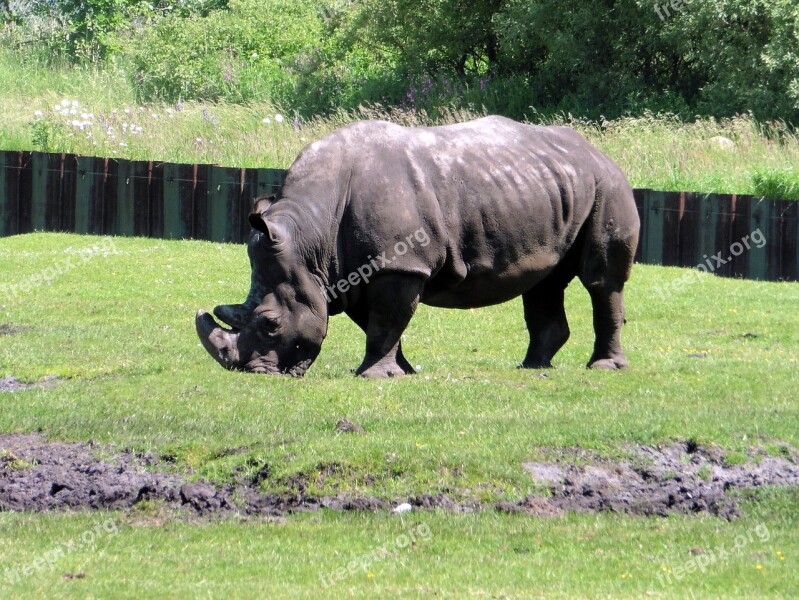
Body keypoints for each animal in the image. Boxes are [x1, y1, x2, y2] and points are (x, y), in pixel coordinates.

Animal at [197, 115, 640, 378]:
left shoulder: (399, 264)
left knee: (601, 282)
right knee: (543, 281)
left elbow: (385, 320)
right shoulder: (353, 271)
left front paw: (374, 376)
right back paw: (532, 366)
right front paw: (402, 372)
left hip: (607, 184)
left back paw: (604, 368)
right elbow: (378, 323)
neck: (311, 239)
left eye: (271, 323)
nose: (255, 372)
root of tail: (599, 151)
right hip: (553, 187)